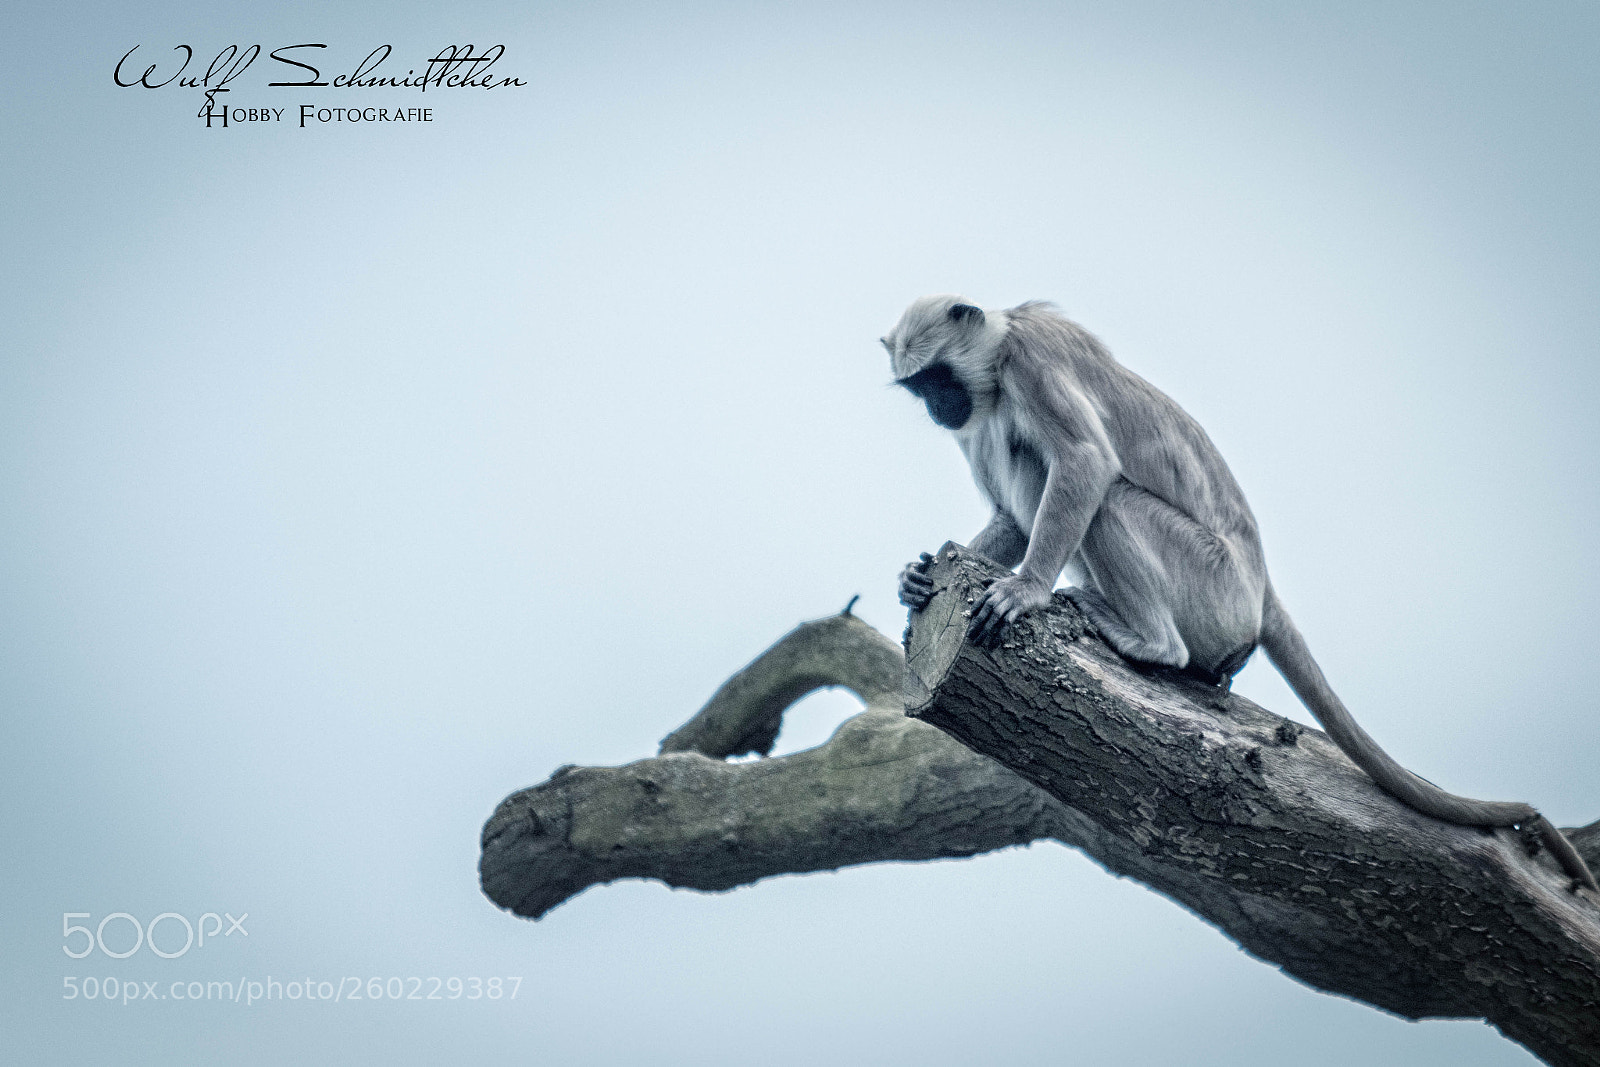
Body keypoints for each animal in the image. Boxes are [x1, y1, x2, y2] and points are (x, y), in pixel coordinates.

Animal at [885, 294, 1597, 891]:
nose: (937, 408)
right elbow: (1011, 518)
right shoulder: (984, 411)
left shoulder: (1031, 363)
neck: (1002, 347)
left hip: (1211, 581)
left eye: (937, 379)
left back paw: (1153, 646)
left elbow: (1087, 461)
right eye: (918, 387)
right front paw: (919, 577)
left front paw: (1027, 590)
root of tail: (1260, 588)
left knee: (1100, 488)